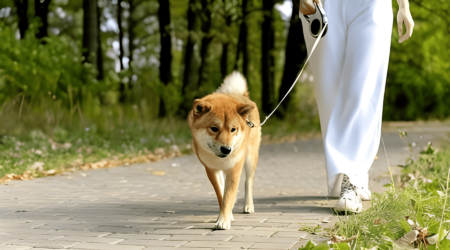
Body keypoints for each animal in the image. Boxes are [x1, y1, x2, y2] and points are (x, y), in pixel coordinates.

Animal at [188, 71, 262, 229]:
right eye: (214, 128)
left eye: (233, 129)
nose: (227, 149)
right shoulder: (212, 170)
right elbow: (221, 195)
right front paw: (225, 216)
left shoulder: (234, 169)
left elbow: (229, 196)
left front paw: (223, 221)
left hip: (250, 158)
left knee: (248, 182)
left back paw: (248, 206)